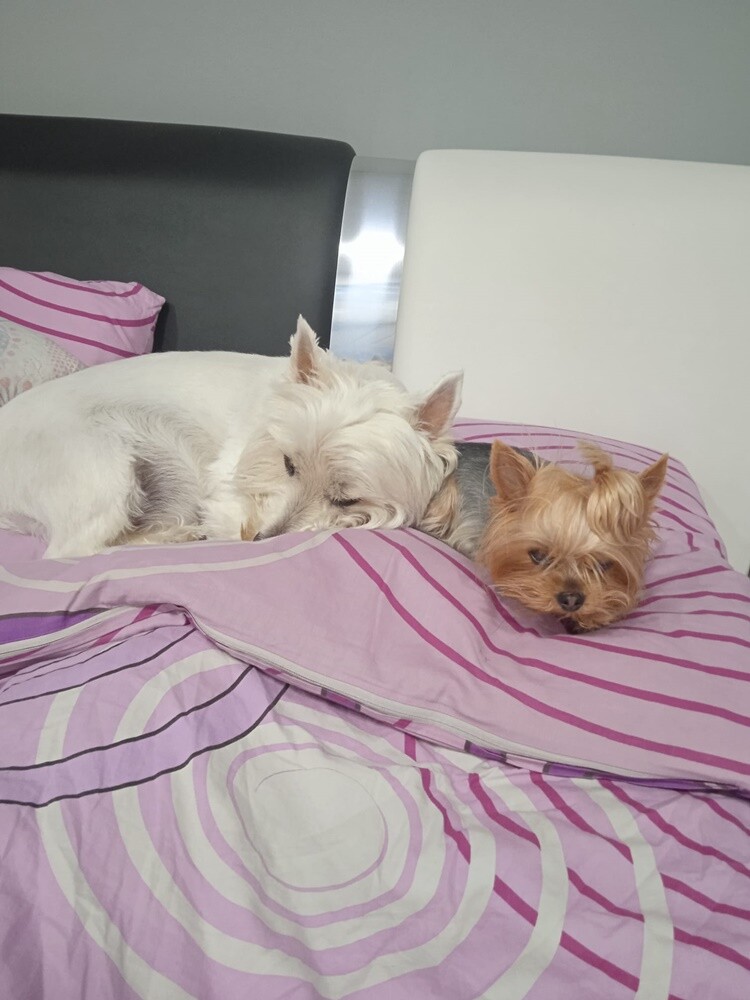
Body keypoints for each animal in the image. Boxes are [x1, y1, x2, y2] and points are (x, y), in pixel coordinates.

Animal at [0, 317, 462, 558]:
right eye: (287, 463)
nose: (258, 539)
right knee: (75, 551)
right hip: (101, 468)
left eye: (348, 500)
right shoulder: (223, 485)